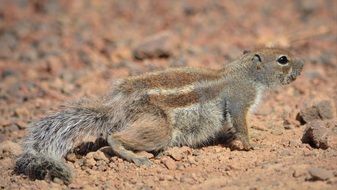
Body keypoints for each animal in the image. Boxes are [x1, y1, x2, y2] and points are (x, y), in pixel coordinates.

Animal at [15, 47, 304, 183]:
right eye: (283, 59)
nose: (303, 65)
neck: (244, 73)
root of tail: (118, 105)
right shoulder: (239, 102)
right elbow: (241, 125)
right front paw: (252, 145)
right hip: (159, 128)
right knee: (113, 137)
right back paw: (136, 157)